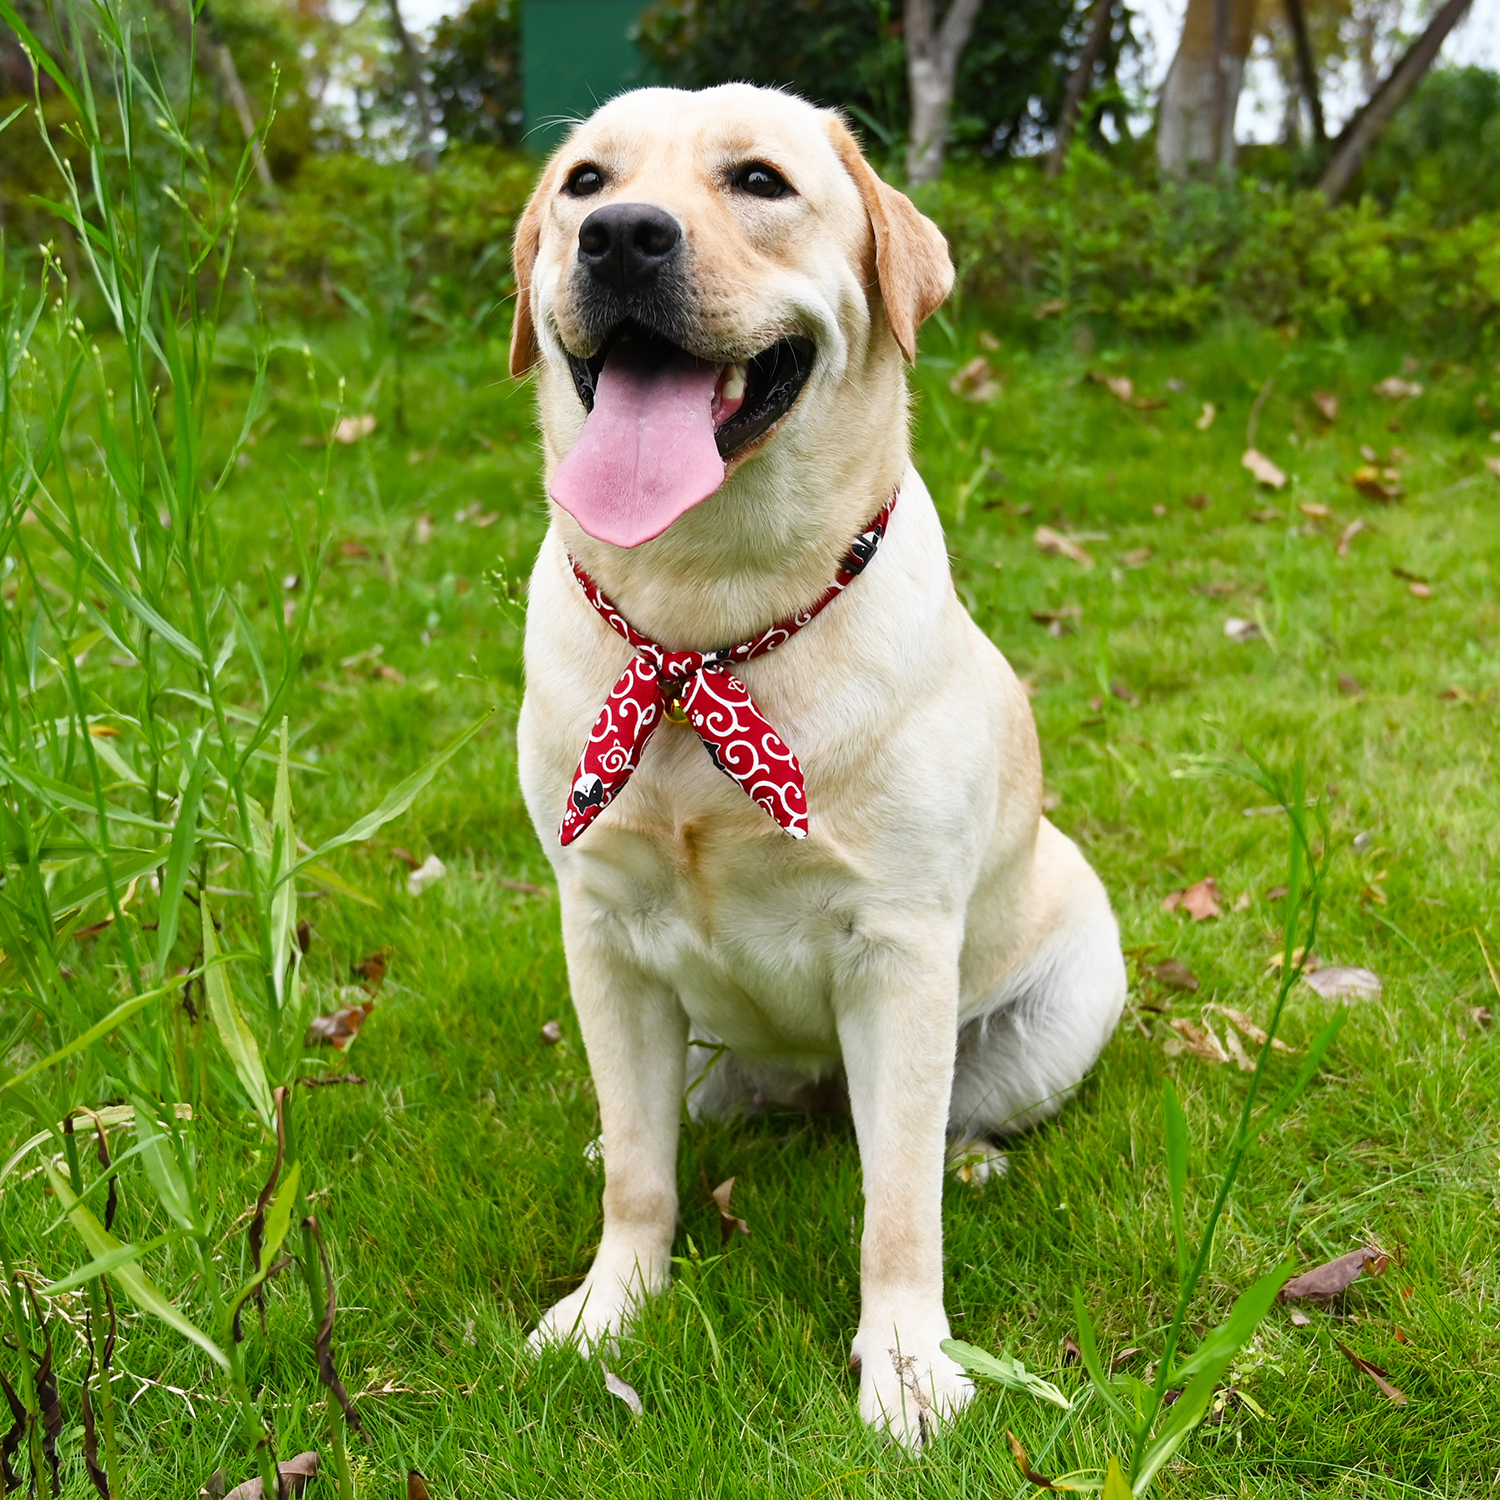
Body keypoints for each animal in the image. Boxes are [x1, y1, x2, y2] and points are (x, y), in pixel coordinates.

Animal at [510, 79, 1122, 1440]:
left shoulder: (897, 952)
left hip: (1055, 1011)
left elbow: (896, 1212)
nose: (621, 238)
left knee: (939, 1132)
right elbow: (642, 1179)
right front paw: (610, 1309)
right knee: (661, 1121)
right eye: (584, 182)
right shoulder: (599, 933)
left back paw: (970, 1155)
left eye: (759, 181)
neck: (703, 623)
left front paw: (906, 1367)